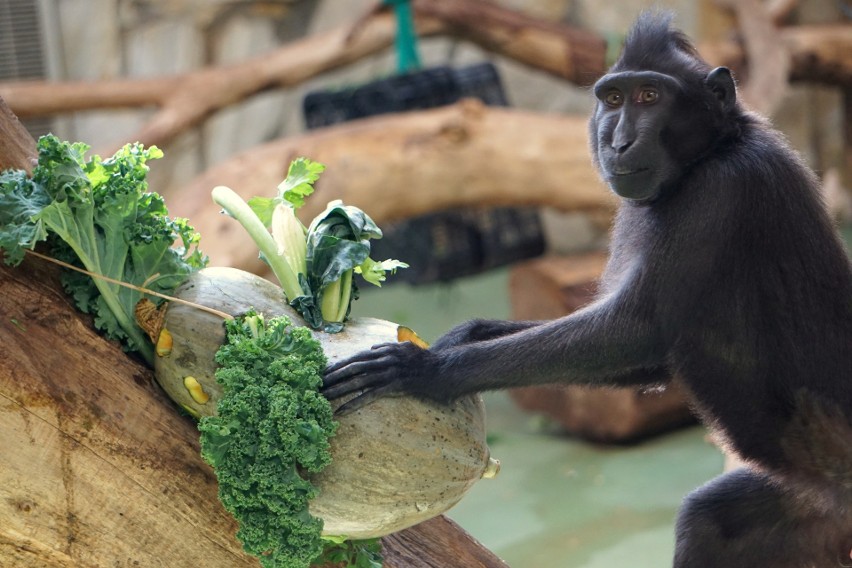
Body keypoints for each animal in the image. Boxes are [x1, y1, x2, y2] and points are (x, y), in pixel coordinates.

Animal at [324, 13, 852, 568]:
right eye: (613, 99)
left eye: (650, 96)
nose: (616, 142)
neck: (713, 151)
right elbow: (647, 360)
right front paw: (467, 334)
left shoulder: (724, 191)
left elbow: (636, 332)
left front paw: (426, 370)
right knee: (710, 522)